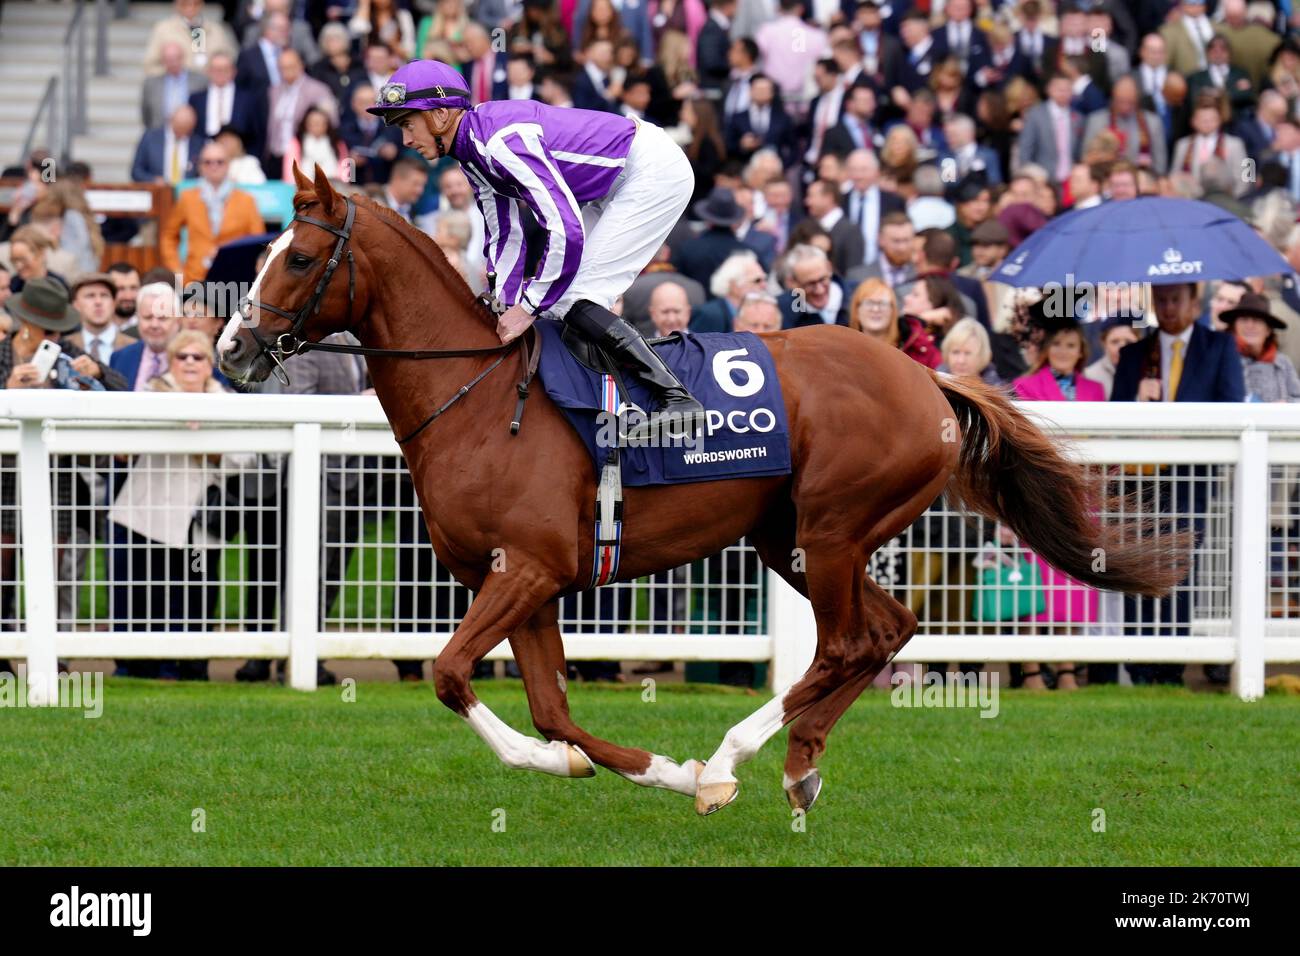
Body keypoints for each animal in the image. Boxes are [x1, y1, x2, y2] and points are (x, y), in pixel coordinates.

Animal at [218, 164, 1185, 816]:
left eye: (298, 257)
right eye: (264, 252)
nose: (231, 351)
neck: (481, 399)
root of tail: (926, 378)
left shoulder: (527, 567)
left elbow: (451, 674)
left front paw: (679, 773)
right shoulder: (523, 581)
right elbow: (551, 710)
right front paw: (601, 765)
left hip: (834, 526)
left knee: (844, 644)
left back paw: (728, 762)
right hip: (791, 538)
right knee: (885, 633)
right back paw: (799, 765)